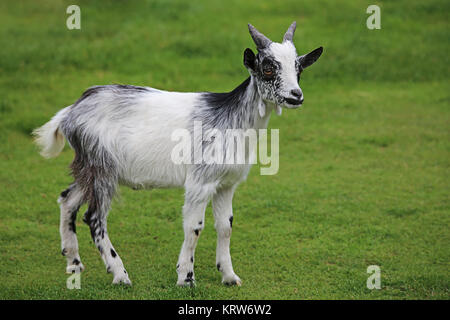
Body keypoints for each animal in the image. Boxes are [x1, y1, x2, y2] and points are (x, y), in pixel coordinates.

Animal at [34, 23, 324, 288]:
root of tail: (70, 112)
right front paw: (186, 277)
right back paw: (120, 275)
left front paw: (229, 276)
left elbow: (226, 226)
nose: (296, 95)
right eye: (268, 68)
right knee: (94, 218)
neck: (232, 119)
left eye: (298, 69)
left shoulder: (226, 184)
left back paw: (73, 263)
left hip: (88, 168)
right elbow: (194, 227)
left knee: (67, 199)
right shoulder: (200, 182)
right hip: (102, 168)